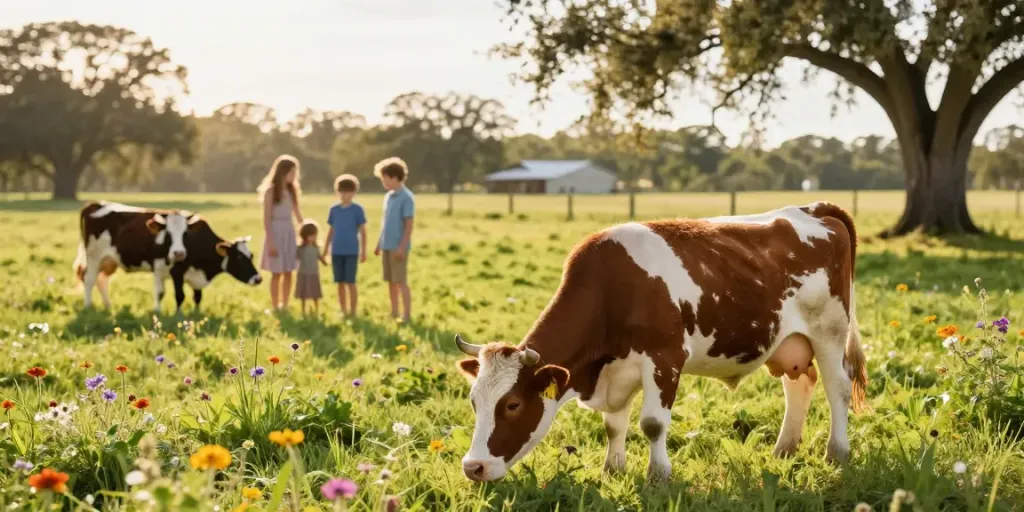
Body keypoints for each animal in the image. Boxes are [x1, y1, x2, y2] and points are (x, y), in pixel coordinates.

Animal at [74, 201, 202, 311]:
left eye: (185, 234)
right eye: (168, 234)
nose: (179, 253)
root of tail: (95, 204)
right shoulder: (158, 265)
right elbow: (160, 292)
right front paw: (157, 311)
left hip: (108, 260)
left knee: (101, 279)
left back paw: (108, 306)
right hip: (94, 256)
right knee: (89, 278)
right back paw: (88, 306)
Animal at [453, 202, 868, 485]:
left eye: (512, 404)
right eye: (474, 401)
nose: (473, 467)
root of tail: (812, 209)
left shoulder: (664, 359)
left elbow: (652, 423)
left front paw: (658, 476)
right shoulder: (615, 371)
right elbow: (613, 425)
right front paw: (613, 470)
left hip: (829, 330)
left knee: (837, 387)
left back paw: (837, 453)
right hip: (788, 342)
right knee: (799, 384)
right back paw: (784, 450)